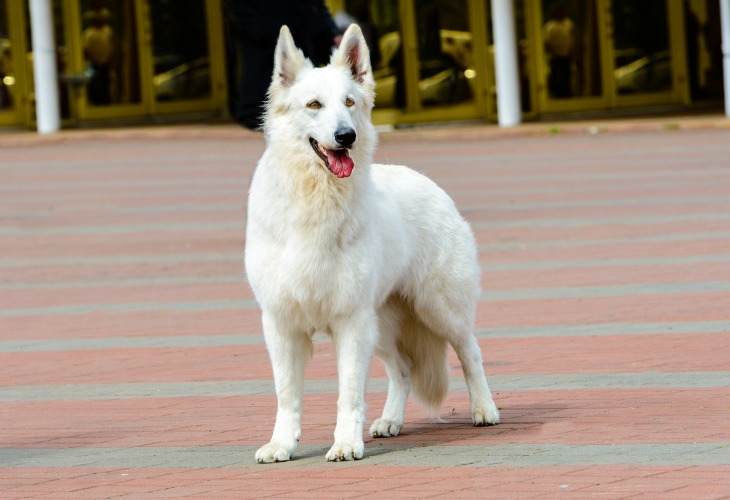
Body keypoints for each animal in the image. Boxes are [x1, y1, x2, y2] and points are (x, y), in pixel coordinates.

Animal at [245, 21, 500, 462]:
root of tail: (429, 182)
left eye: (349, 102)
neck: (316, 199)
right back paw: (390, 420)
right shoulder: (281, 323)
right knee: (403, 369)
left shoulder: (350, 321)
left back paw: (483, 409)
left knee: (471, 352)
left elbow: (348, 393)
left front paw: (346, 443)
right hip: (380, 327)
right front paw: (282, 443)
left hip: (438, 310)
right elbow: (287, 394)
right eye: (314, 105)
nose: (346, 136)